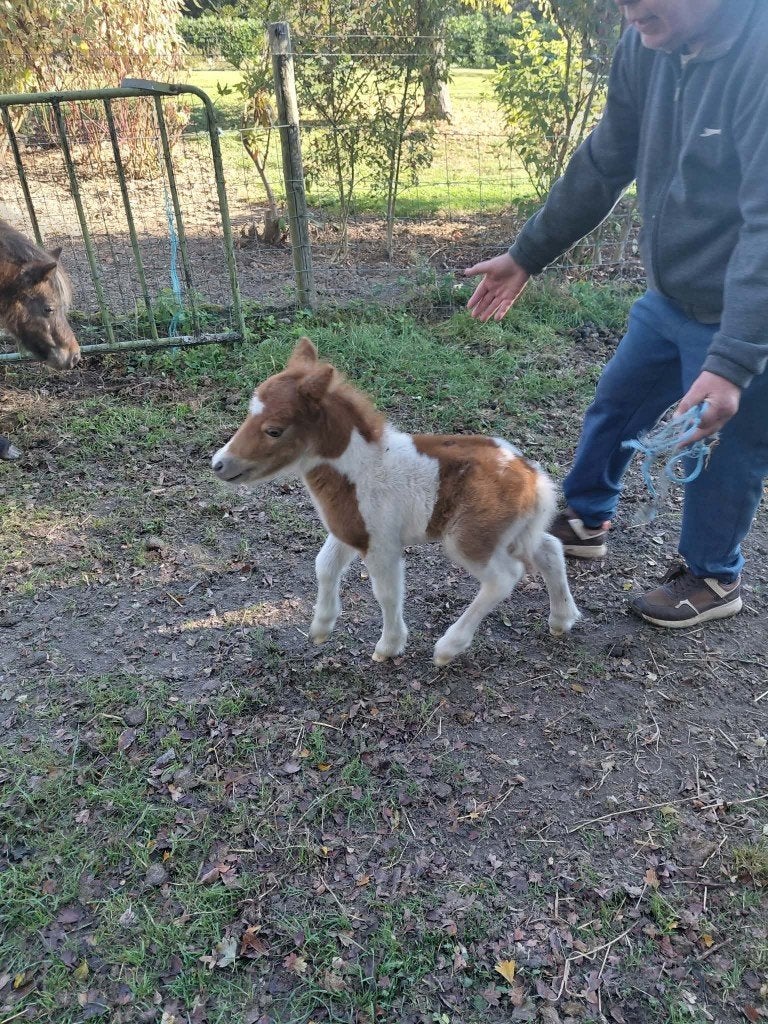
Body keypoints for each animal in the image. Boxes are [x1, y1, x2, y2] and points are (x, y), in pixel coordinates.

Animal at [211, 337, 580, 666]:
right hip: (516, 532)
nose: (218, 464)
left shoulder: (381, 543)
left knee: (504, 577)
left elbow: (387, 592)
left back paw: (448, 648)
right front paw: (320, 628)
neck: (360, 469)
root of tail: (534, 478)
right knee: (550, 549)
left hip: (470, 539)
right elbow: (324, 565)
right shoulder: (351, 529)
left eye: (274, 430)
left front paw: (388, 647)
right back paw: (561, 619)